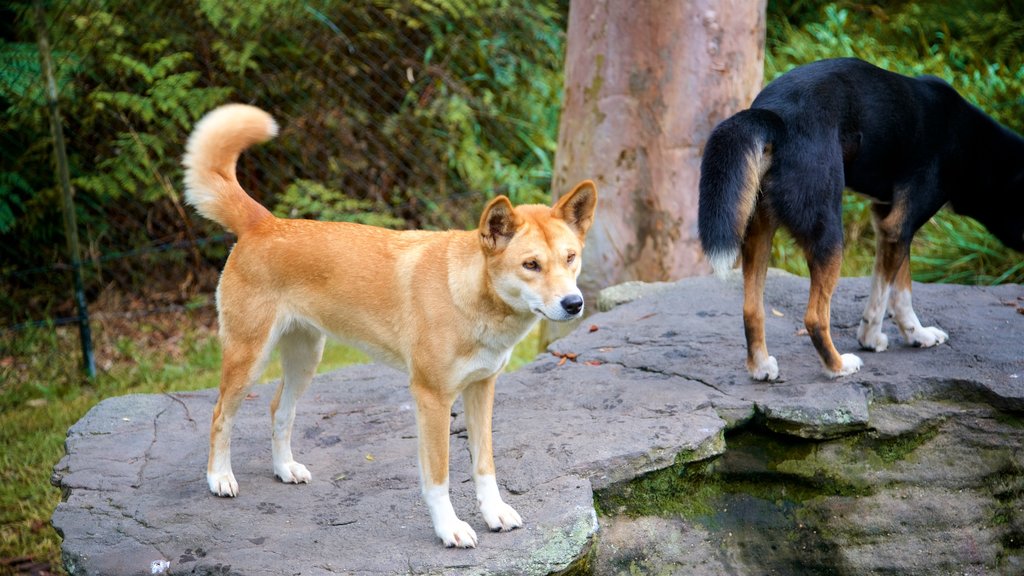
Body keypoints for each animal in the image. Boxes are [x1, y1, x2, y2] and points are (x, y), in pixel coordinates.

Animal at [700, 57, 1019, 381]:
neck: (974, 143)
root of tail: (774, 115)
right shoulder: (900, 226)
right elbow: (883, 296)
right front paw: (870, 338)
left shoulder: (890, 224)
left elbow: (900, 291)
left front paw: (918, 335)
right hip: (829, 233)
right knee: (815, 317)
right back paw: (838, 366)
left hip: (759, 230)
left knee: (752, 309)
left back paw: (761, 367)